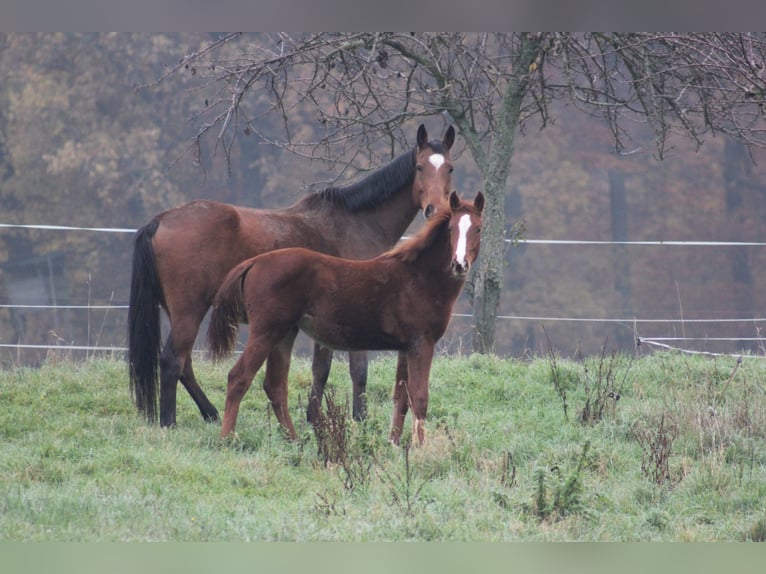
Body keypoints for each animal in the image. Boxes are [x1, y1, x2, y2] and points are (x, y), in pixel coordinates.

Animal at [127, 125, 456, 428]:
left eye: (449, 168)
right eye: (419, 167)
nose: (436, 209)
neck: (356, 223)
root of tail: (160, 220)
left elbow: (321, 369)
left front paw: (315, 417)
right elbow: (355, 371)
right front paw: (358, 419)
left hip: (179, 312)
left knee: (185, 364)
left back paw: (210, 414)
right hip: (190, 310)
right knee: (172, 360)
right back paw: (169, 422)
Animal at [208, 191, 486, 448]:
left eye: (478, 228)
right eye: (450, 229)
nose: (459, 264)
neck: (419, 277)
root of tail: (254, 262)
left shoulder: (405, 347)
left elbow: (400, 397)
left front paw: (394, 444)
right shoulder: (422, 344)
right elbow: (419, 397)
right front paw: (420, 449)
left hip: (285, 334)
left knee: (275, 386)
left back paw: (295, 441)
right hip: (266, 331)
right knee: (238, 377)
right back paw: (227, 438)